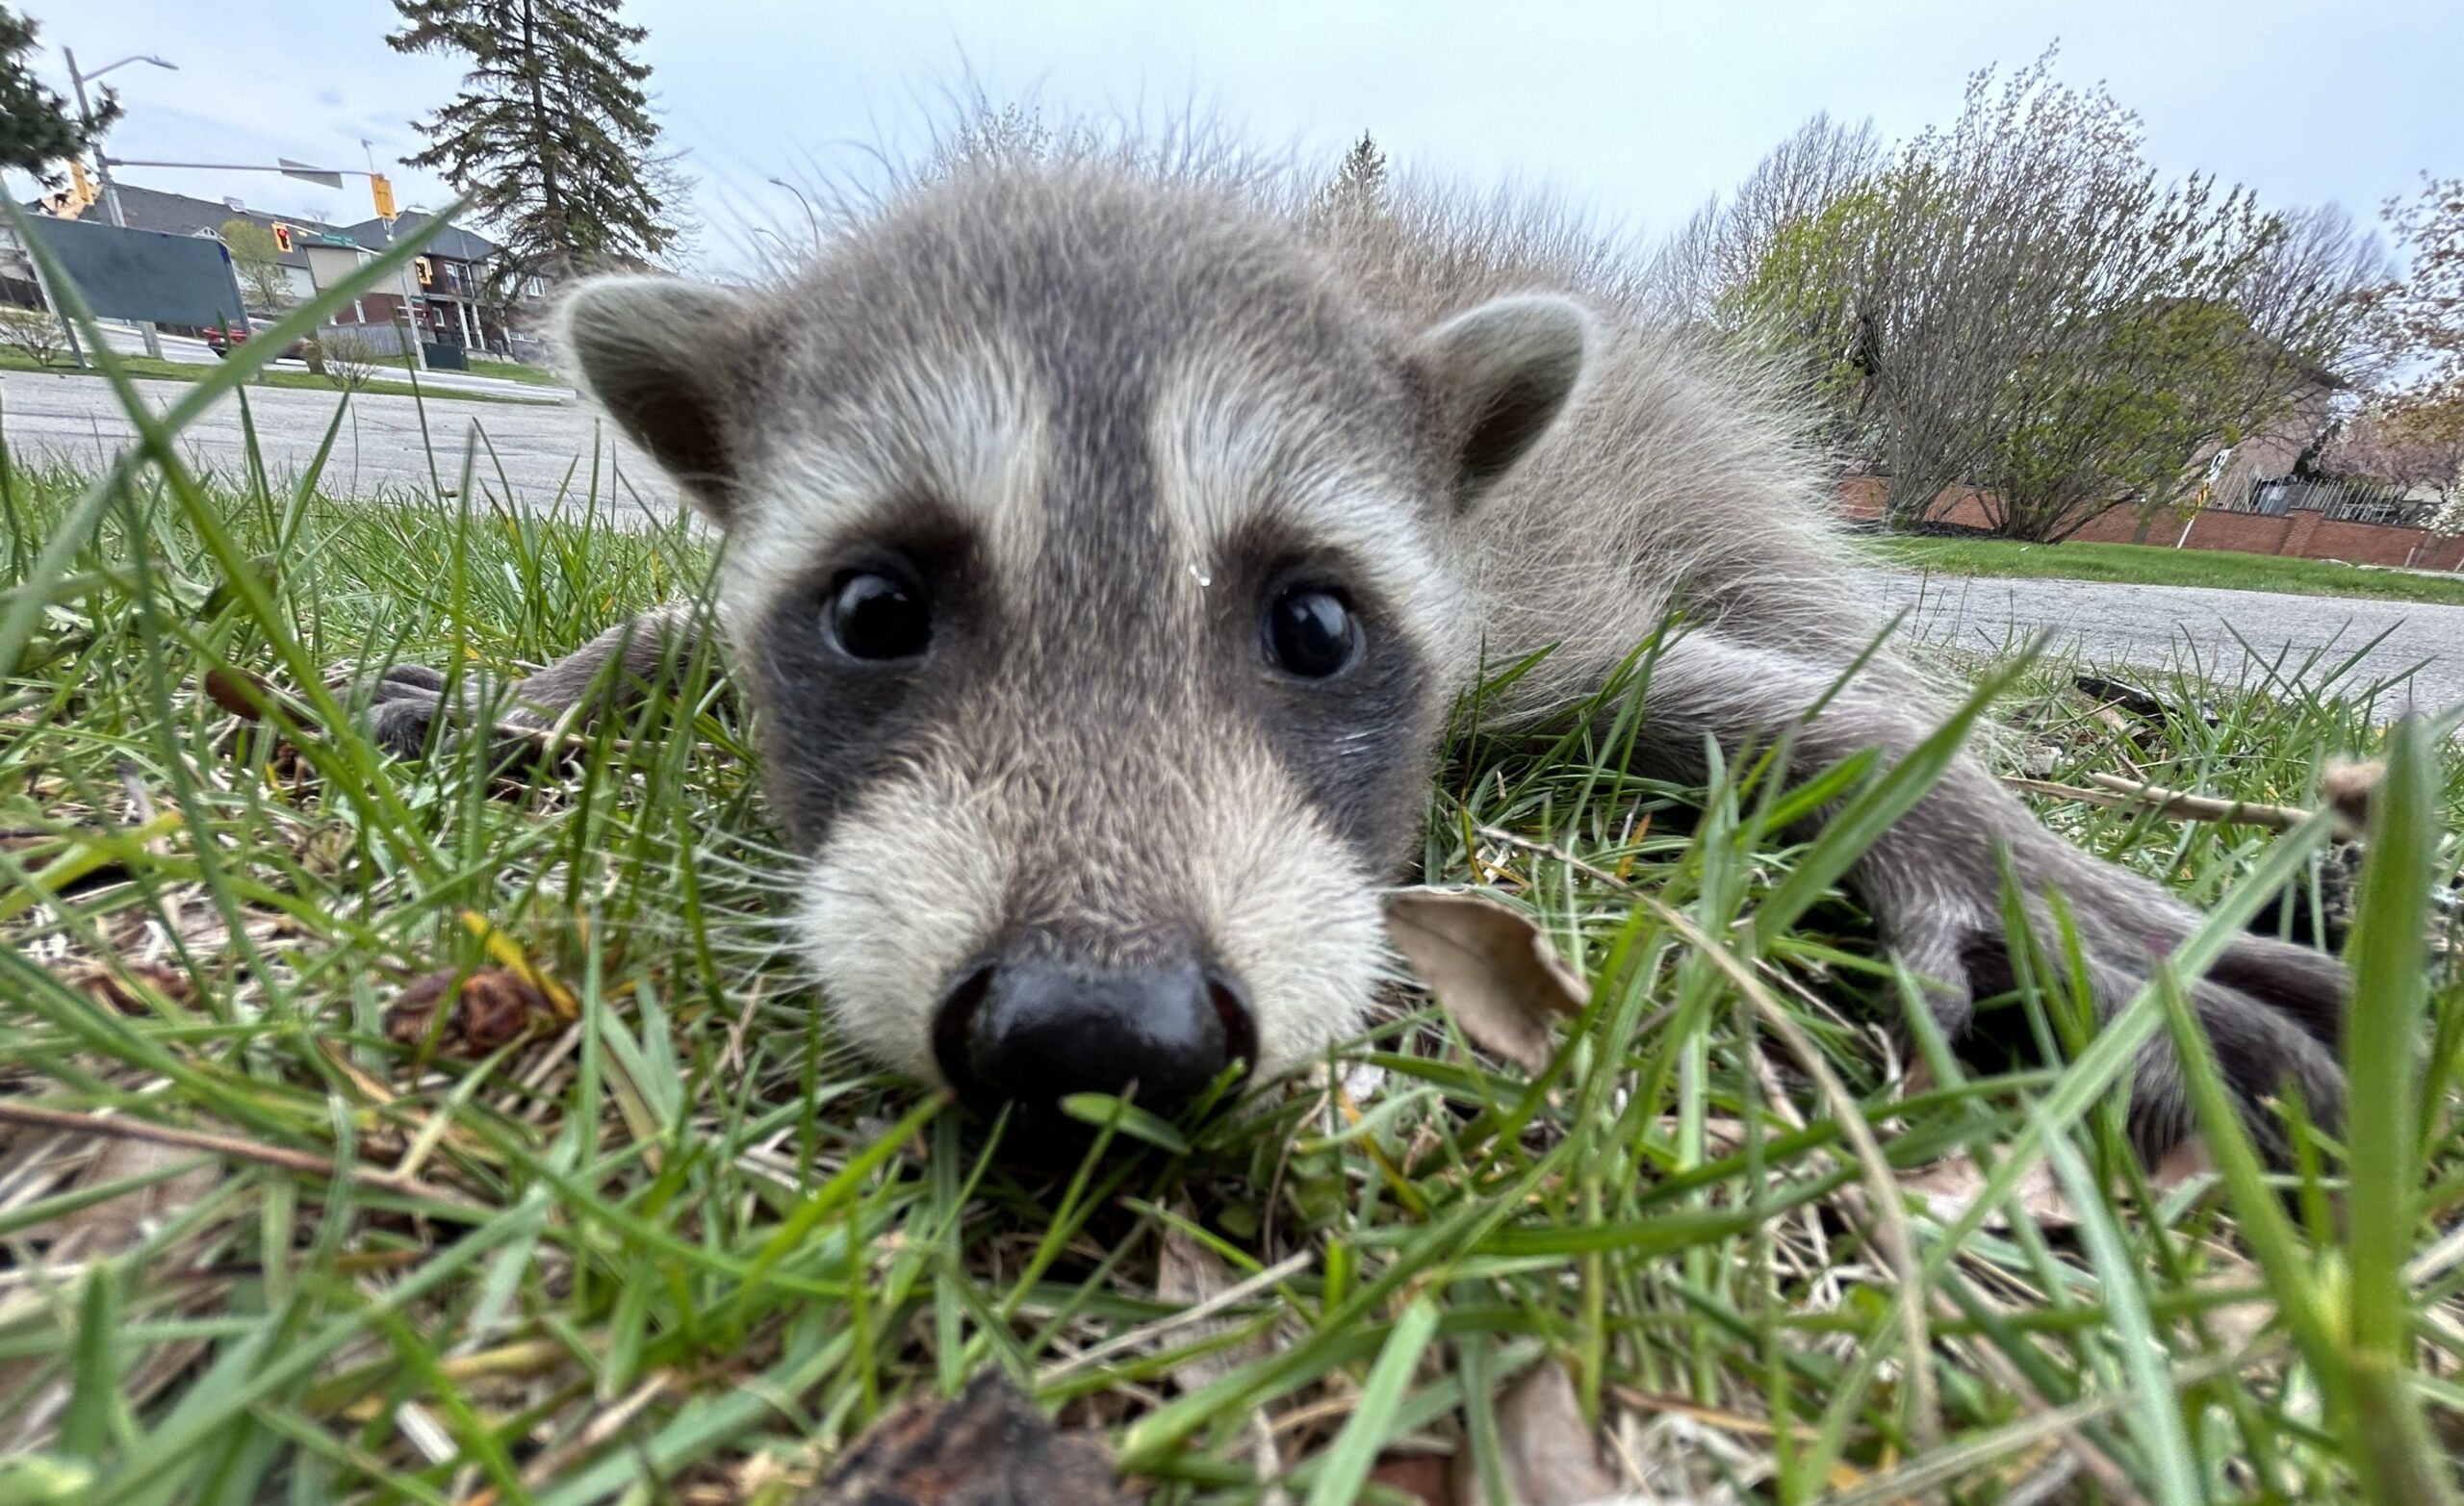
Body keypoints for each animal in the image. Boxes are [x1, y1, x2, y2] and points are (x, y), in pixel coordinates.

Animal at [364, 156, 2346, 1153]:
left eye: (1316, 623)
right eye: (872, 614)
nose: (1099, 1028)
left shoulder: (1517, 594)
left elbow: (1779, 701)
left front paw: (1986, 837)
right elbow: (678, 620)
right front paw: (571, 676)